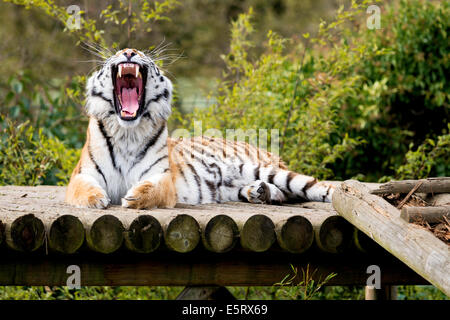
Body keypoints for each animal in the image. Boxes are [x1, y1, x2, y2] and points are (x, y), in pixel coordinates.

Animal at [67, 46, 334, 209]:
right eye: (117, 52)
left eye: (143, 54)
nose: (129, 52)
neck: (128, 131)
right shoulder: (83, 174)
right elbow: (83, 188)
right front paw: (96, 199)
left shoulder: (162, 176)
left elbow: (152, 189)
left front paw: (134, 197)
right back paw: (258, 192)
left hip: (269, 170)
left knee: (309, 187)